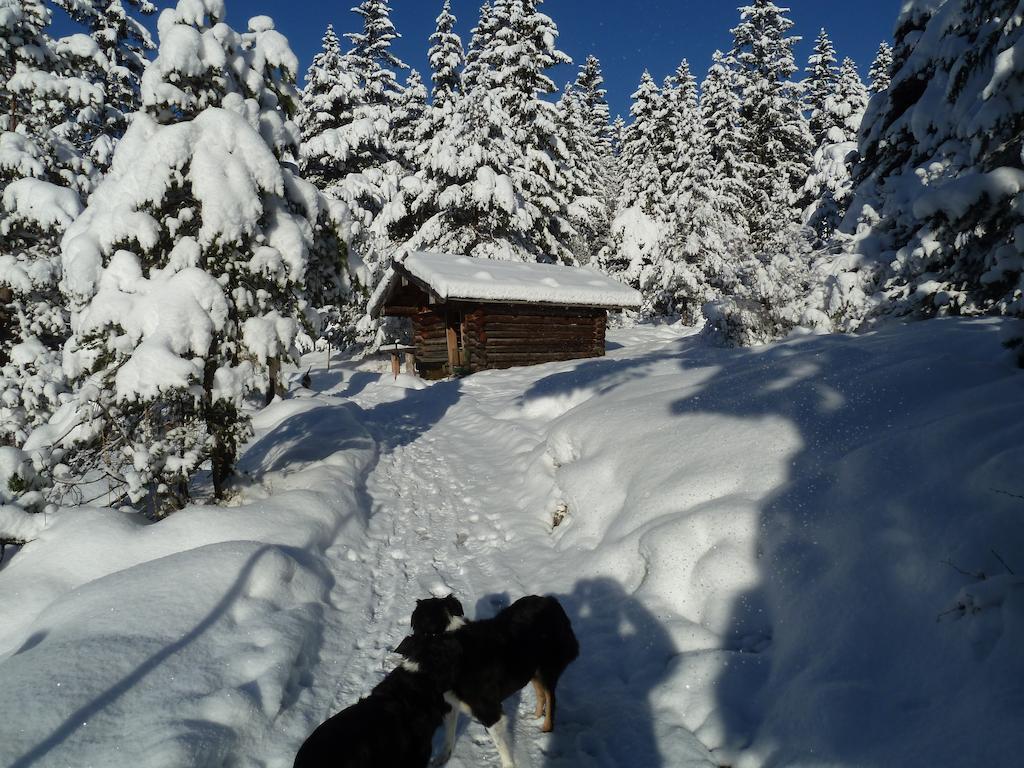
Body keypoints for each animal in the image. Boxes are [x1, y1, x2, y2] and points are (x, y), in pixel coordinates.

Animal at [399, 593, 581, 768]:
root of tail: (552, 601)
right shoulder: (450, 704)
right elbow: (448, 736)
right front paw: (443, 759)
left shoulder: (489, 711)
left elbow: (501, 746)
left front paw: (509, 765)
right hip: (532, 669)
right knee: (541, 694)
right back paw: (535, 718)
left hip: (547, 668)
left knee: (551, 699)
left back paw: (546, 729)